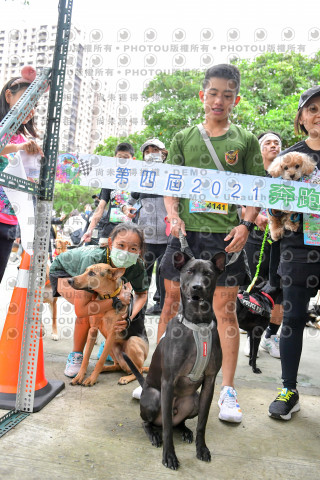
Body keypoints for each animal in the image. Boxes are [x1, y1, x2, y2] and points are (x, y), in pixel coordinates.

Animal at [122, 251, 225, 468]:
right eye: (189, 272)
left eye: (208, 273)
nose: (197, 287)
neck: (198, 323)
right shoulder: (168, 382)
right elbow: (168, 428)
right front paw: (169, 455)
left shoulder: (210, 381)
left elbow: (202, 422)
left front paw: (202, 449)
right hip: (154, 396)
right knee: (150, 422)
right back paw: (153, 434)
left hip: (194, 399)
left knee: (179, 422)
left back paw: (185, 430)